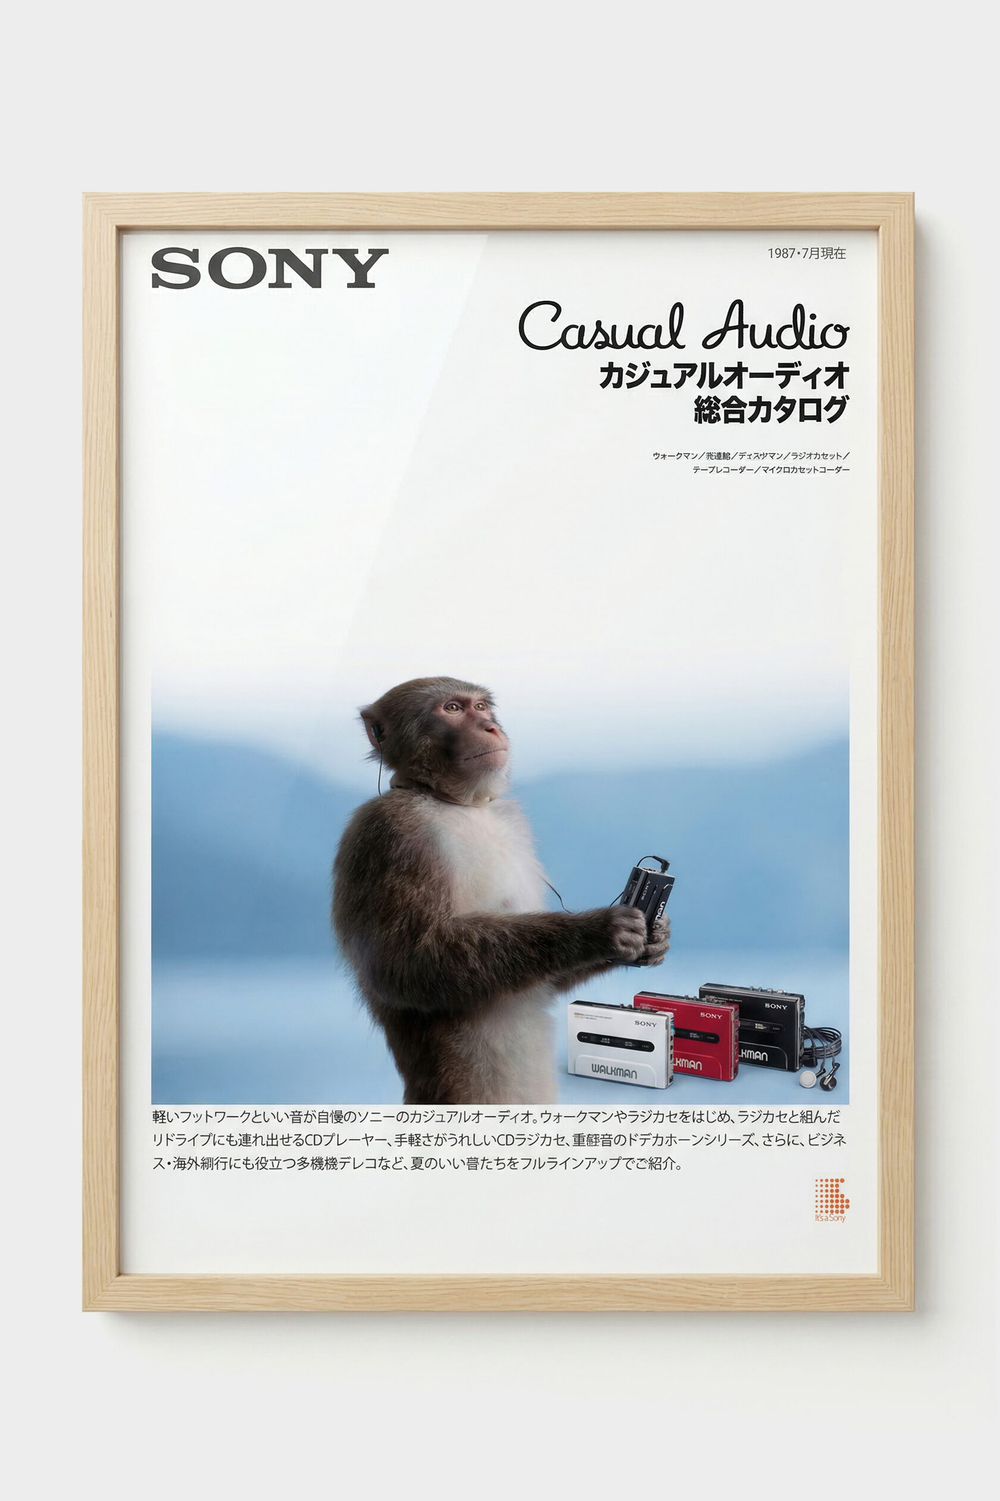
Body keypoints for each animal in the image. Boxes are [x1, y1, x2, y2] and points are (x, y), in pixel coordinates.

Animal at [332, 676, 669, 1105]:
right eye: (453, 709)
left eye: (480, 706)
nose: (489, 727)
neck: (456, 802)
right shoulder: (390, 832)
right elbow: (404, 966)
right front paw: (600, 930)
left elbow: (548, 980)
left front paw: (657, 936)